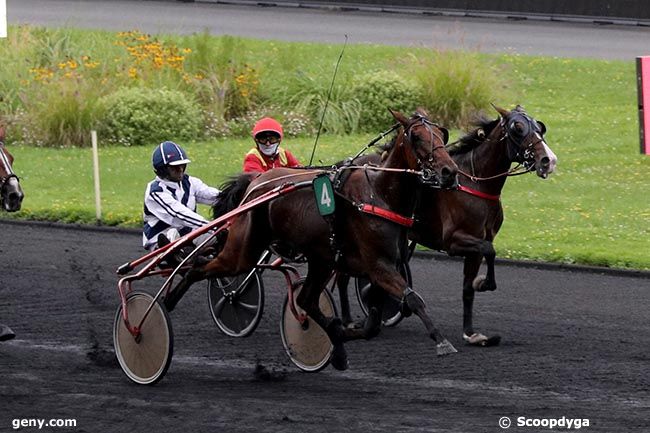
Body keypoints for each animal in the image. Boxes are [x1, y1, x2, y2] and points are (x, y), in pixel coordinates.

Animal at [170, 108, 458, 368]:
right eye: (417, 137)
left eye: (441, 134)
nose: (449, 171)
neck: (378, 195)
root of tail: (256, 183)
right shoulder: (378, 266)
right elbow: (413, 298)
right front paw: (442, 341)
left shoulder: (384, 267)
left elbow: (376, 320)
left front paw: (345, 332)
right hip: (244, 251)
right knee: (200, 267)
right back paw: (168, 301)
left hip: (321, 260)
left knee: (305, 300)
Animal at [336, 106, 556, 346]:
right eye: (517, 128)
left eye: (539, 126)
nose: (548, 160)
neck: (474, 182)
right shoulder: (453, 241)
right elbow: (489, 250)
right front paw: (483, 283)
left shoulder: (477, 244)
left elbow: (469, 286)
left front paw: (471, 332)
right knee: (344, 276)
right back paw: (349, 320)